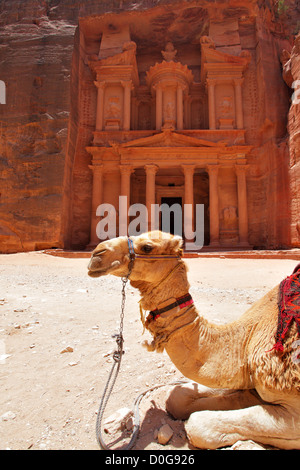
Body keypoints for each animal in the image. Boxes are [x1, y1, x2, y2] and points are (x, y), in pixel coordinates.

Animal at [88, 233, 300, 450]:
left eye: (147, 247)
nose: (97, 253)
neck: (244, 341)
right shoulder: (245, 377)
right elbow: (178, 398)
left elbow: (199, 425)